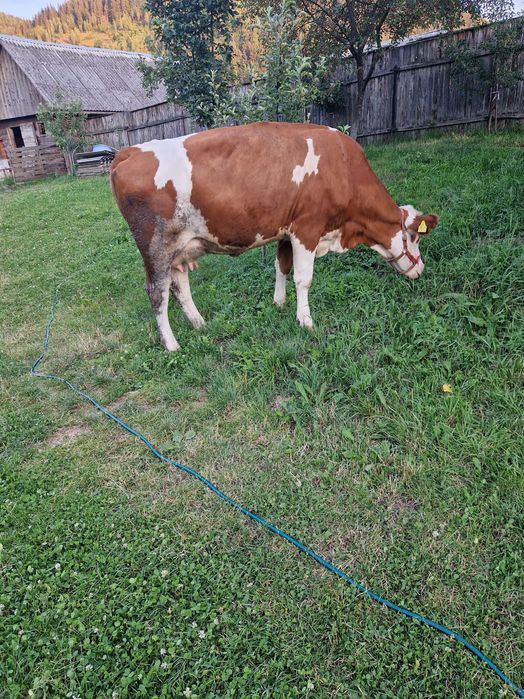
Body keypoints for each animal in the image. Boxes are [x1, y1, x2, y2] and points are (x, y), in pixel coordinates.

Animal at [110, 122, 438, 351]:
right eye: (414, 237)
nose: (420, 269)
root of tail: (130, 151)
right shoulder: (307, 228)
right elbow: (303, 279)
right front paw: (305, 320)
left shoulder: (286, 230)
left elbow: (282, 265)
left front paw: (279, 303)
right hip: (156, 247)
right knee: (157, 292)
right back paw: (171, 344)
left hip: (179, 249)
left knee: (179, 285)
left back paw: (200, 324)